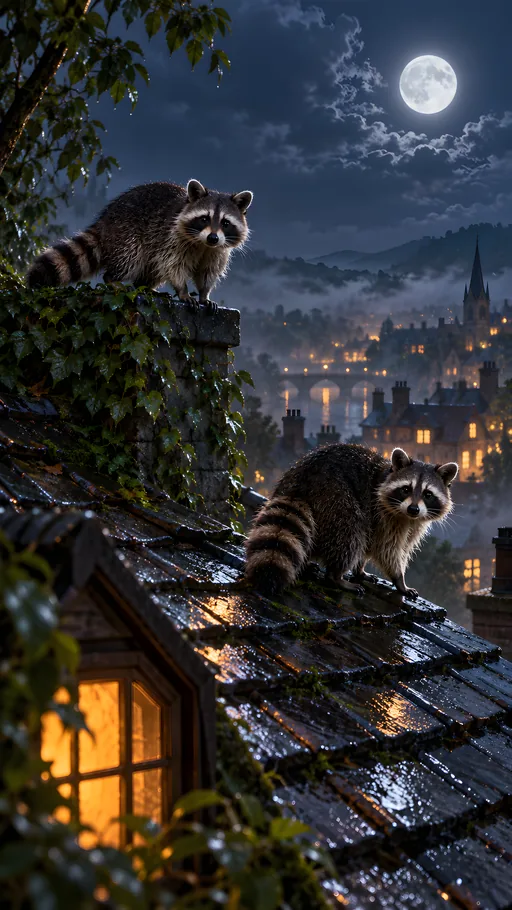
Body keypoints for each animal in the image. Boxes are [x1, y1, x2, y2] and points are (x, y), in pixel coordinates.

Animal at [26, 179, 253, 308]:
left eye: (225, 223)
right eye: (204, 218)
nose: (213, 238)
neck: (202, 244)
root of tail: (104, 221)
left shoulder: (217, 252)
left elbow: (208, 272)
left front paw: (204, 294)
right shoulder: (172, 239)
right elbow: (173, 266)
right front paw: (183, 291)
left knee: (154, 268)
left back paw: (144, 286)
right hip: (127, 233)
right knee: (131, 257)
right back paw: (114, 279)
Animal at [245, 444, 458, 599]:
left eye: (428, 494)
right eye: (406, 489)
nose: (413, 509)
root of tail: (302, 481)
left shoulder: (412, 521)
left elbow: (374, 543)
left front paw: (360, 568)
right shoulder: (383, 514)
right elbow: (386, 548)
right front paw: (399, 579)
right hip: (336, 498)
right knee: (350, 532)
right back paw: (336, 576)